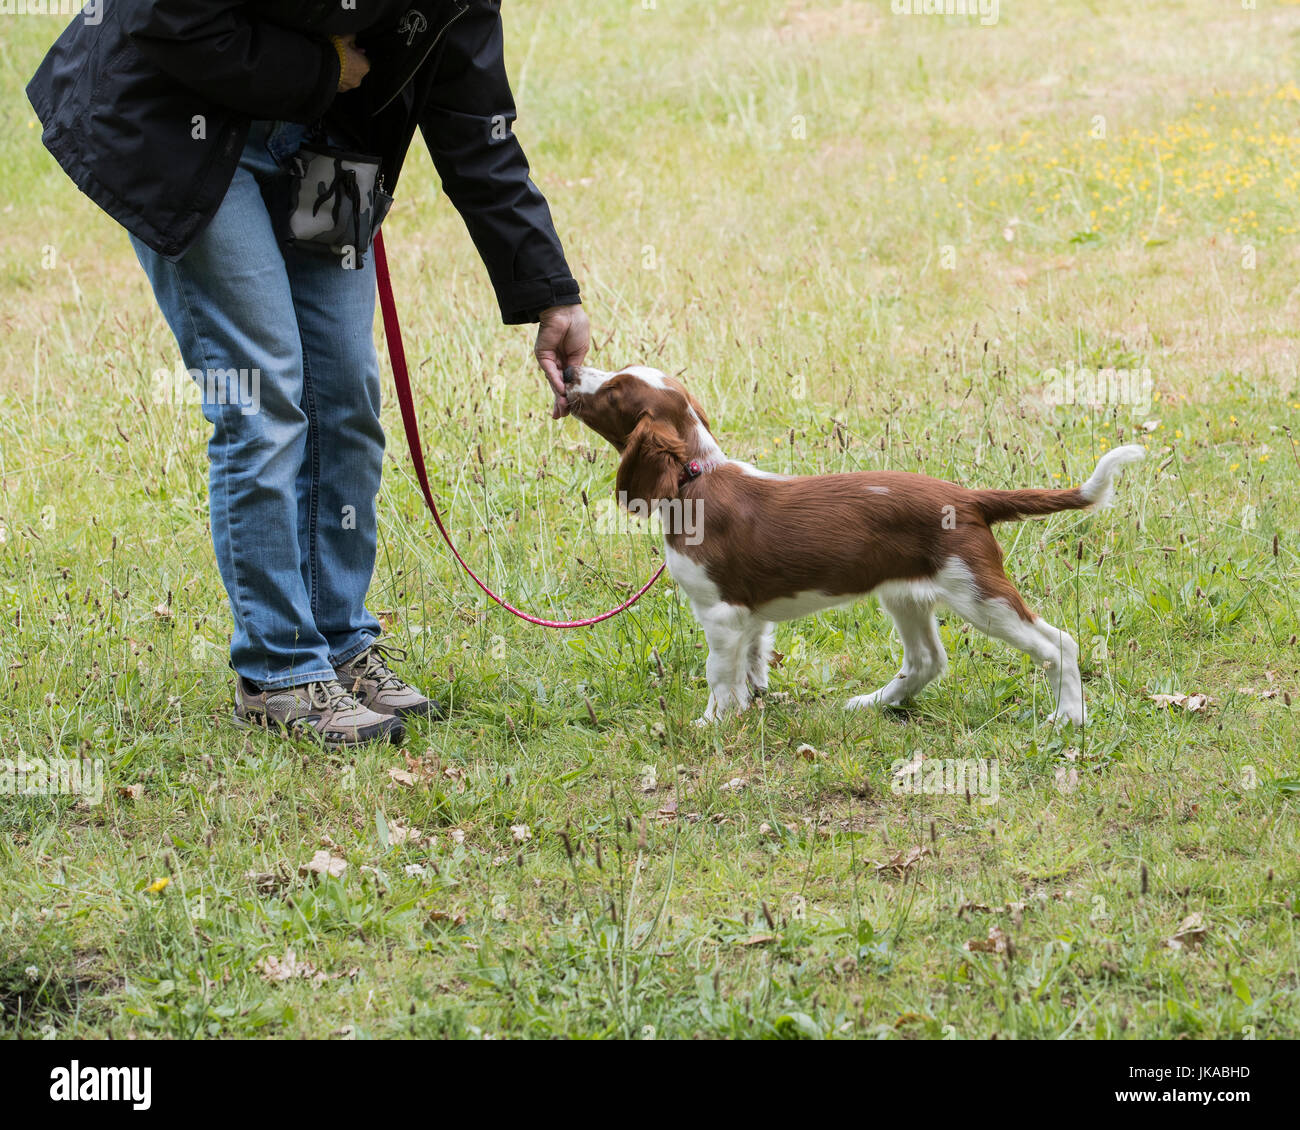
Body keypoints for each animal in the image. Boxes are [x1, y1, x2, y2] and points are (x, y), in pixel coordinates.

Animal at [564, 366, 1144, 728]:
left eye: (614, 390)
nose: (569, 375)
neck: (694, 478)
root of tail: (968, 497)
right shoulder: (751, 615)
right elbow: (752, 662)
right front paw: (752, 703)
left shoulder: (721, 613)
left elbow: (718, 675)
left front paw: (712, 722)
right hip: (906, 593)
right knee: (926, 660)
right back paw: (874, 703)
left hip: (977, 592)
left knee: (1059, 643)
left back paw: (1069, 717)